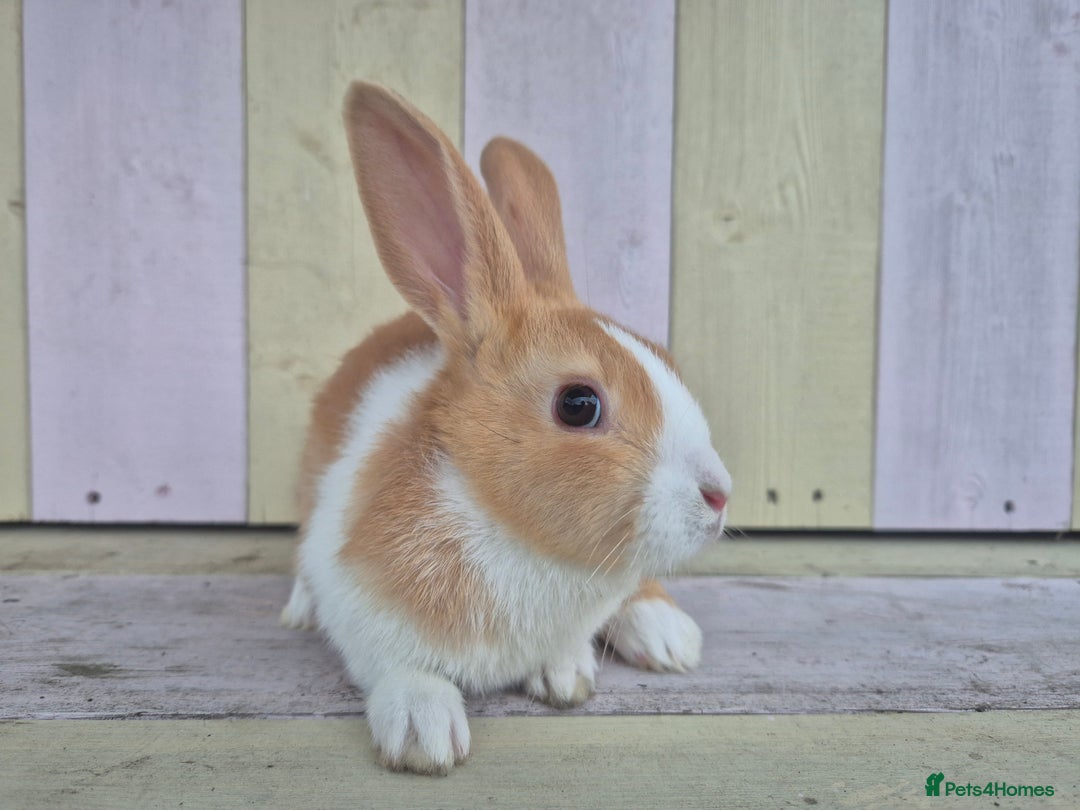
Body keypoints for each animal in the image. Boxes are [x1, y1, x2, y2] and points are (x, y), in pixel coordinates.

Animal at [281, 81, 732, 775]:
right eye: (579, 404)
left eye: (666, 359)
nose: (720, 495)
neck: (517, 538)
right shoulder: (361, 609)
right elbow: (400, 668)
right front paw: (425, 735)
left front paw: (566, 675)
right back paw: (299, 611)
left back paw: (667, 635)